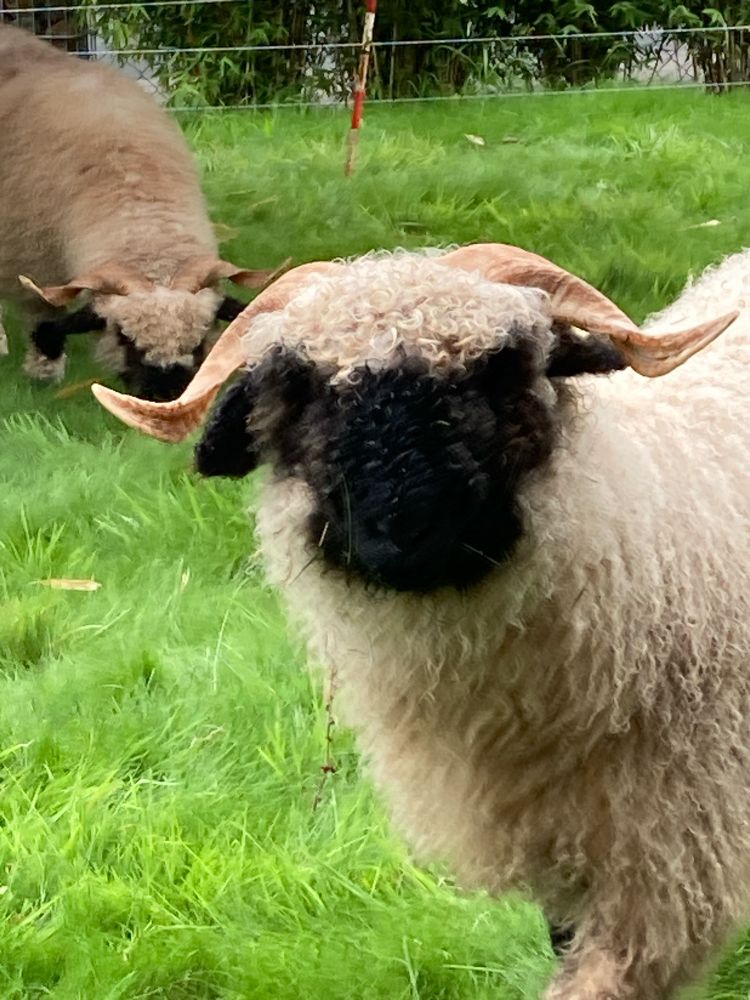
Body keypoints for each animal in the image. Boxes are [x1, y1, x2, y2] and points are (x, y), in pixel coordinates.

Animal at [0, 23, 276, 400]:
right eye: (123, 337)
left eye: (201, 339)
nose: (166, 395)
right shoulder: (25, 261)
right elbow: (44, 318)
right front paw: (44, 371)